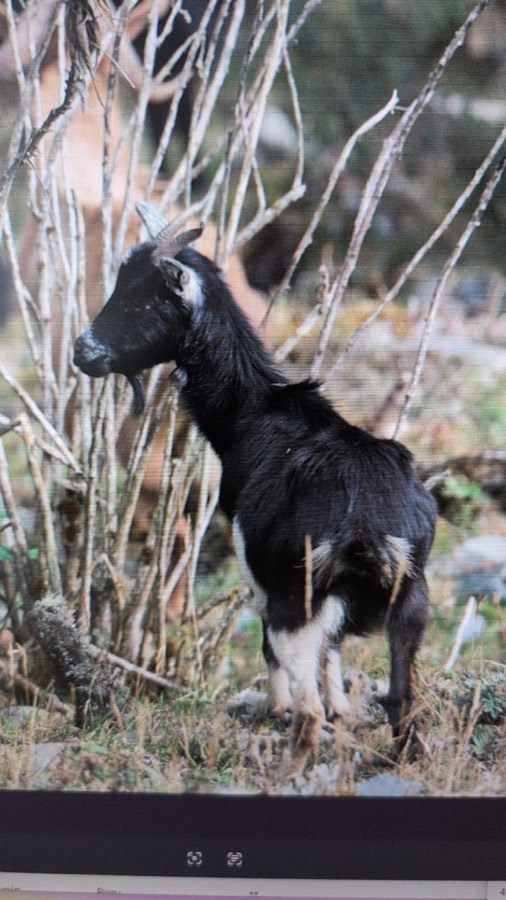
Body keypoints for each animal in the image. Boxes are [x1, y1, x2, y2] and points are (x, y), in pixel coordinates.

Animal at [74, 208, 437, 774]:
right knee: (400, 697)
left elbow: (273, 654)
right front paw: (342, 713)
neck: (254, 415)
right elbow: (335, 658)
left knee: (306, 699)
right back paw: (401, 760)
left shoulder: (258, 567)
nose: (82, 352)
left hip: (297, 595)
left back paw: (287, 764)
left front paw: (271, 709)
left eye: (142, 299)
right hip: (412, 598)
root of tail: (368, 527)